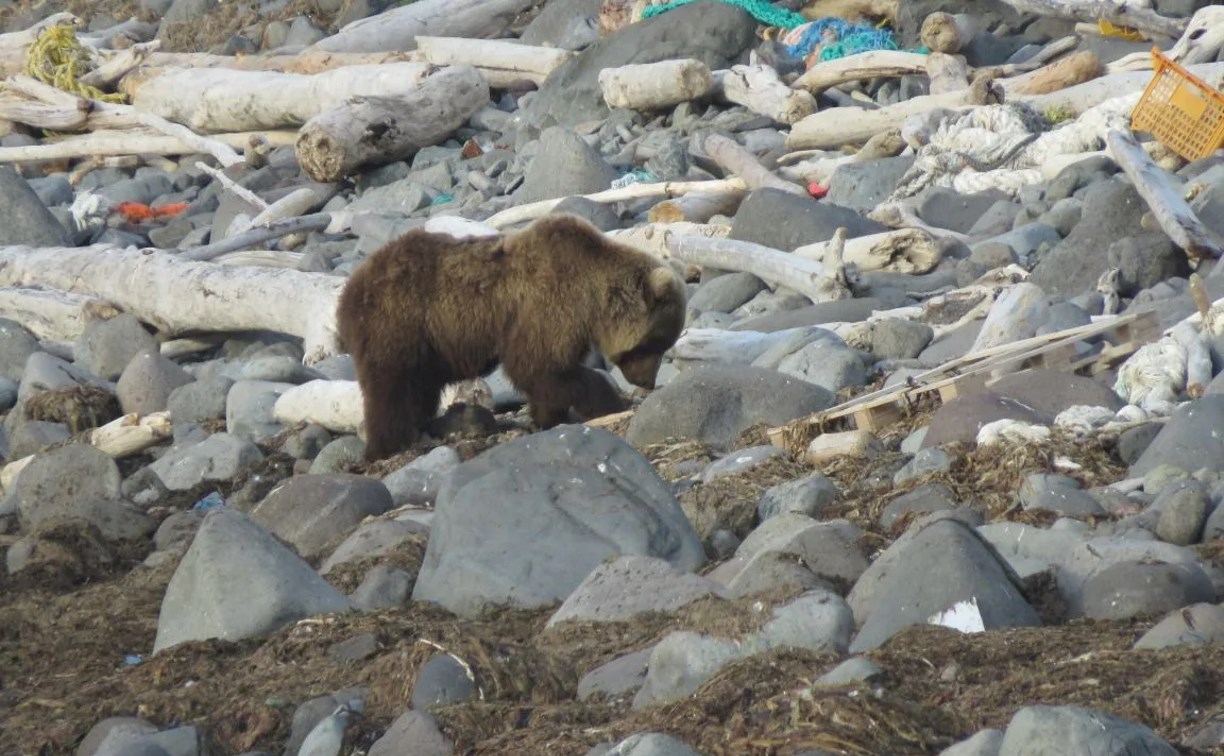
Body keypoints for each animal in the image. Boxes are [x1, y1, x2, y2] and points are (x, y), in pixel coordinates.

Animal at [336, 213, 688, 461]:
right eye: (654, 344)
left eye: (664, 344)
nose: (647, 382)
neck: (593, 298)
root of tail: (349, 292)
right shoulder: (550, 303)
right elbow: (538, 366)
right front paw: (608, 402)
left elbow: (547, 375)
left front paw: (547, 417)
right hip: (398, 324)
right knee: (391, 390)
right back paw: (387, 445)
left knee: (418, 391)